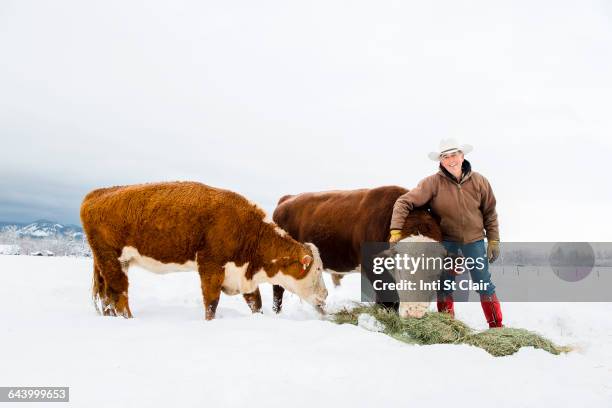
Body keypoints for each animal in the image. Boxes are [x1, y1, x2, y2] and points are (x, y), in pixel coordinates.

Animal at [82, 181, 330, 318]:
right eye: (317, 270)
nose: (326, 294)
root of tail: (96, 193)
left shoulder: (242, 274)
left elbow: (255, 303)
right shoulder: (211, 267)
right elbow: (211, 303)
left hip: (111, 262)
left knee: (106, 296)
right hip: (111, 260)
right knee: (119, 294)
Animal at [266, 186, 440, 318]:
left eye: (435, 275)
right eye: (401, 272)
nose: (415, 312)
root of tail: (287, 199)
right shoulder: (373, 266)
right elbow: (387, 298)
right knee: (278, 289)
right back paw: (277, 314)